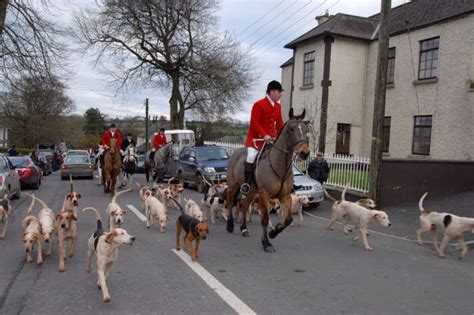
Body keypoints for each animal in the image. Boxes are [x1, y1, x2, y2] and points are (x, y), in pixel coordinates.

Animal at [226, 110, 312, 253]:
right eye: (291, 129)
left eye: (306, 129)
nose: (304, 153)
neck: (280, 166)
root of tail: (236, 152)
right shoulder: (264, 195)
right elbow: (265, 219)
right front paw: (266, 243)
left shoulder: (285, 196)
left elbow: (288, 219)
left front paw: (273, 232)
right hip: (234, 185)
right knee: (229, 201)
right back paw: (230, 225)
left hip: (252, 191)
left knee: (245, 206)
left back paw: (244, 229)